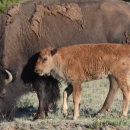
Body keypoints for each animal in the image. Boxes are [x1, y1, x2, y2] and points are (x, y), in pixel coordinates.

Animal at [0, 0, 130, 120]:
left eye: (3, 93)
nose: (3, 116)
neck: (22, 35)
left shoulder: (41, 75)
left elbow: (41, 93)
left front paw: (39, 115)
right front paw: (46, 112)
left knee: (115, 85)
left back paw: (102, 111)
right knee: (114, 84)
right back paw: (102, 111)